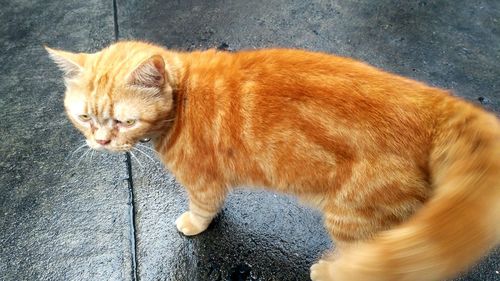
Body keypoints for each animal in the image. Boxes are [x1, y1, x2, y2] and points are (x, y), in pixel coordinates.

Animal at [45, 40, 498, 280]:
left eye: (124, 121)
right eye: (84, 117)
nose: (101, 142)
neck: (183, 95)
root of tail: (436, 102)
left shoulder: (203, 180)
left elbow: (203, 207)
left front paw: (194, 223)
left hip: (351, 216)